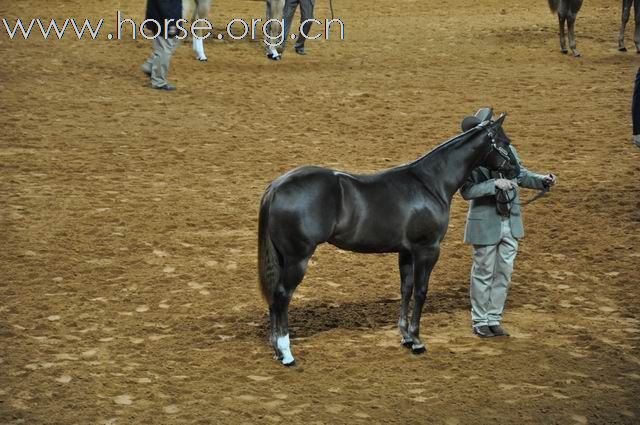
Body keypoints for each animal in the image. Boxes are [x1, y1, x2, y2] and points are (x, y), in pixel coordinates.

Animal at [256, 110, 520, 364]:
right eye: (505, 142)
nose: (516, 171)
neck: (430, 183)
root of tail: (277, 186)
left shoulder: (406, 252)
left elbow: (406, 289)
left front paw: (405, 337)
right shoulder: (427, 249)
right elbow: (421, 290)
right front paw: (417, 340)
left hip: (284, 257)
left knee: (275, 297)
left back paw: (277, 350)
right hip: (298, 258)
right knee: (282, 295)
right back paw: (286, 353)